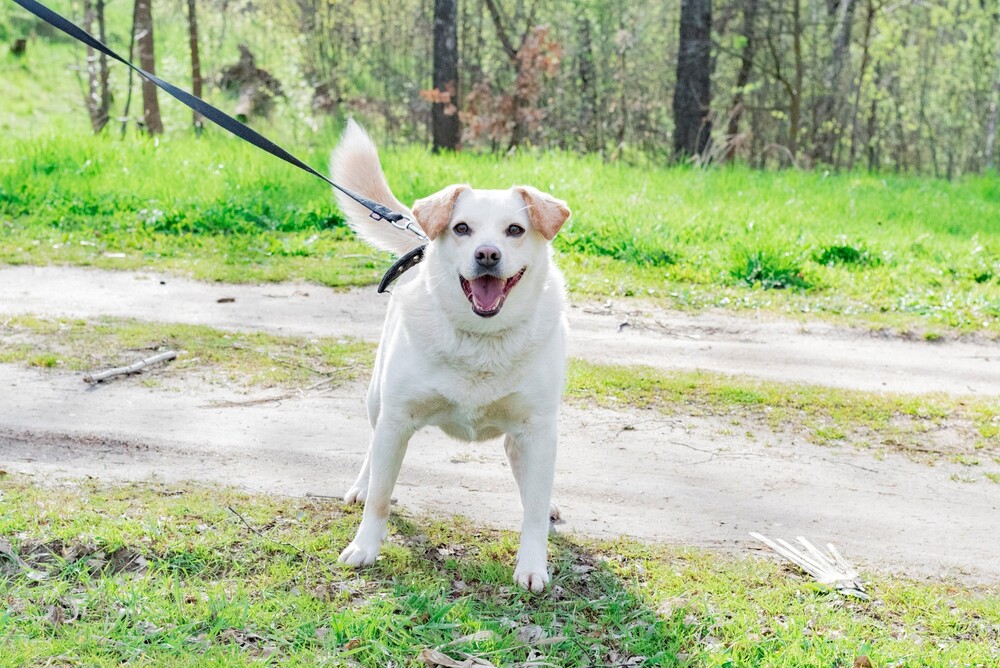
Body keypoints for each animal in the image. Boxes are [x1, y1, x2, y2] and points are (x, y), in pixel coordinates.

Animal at [330, 121, 572, 588]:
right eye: (461, 228)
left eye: (515, 230)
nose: (487, 254)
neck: (481, 337)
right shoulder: (397, 418)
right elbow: (382, 498)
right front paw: (365, 547)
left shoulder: (538, 428)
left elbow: (533, 511)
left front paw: (532, 565)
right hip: (377, 400)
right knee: (372, 448)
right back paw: (362, 484)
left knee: (523, 466)